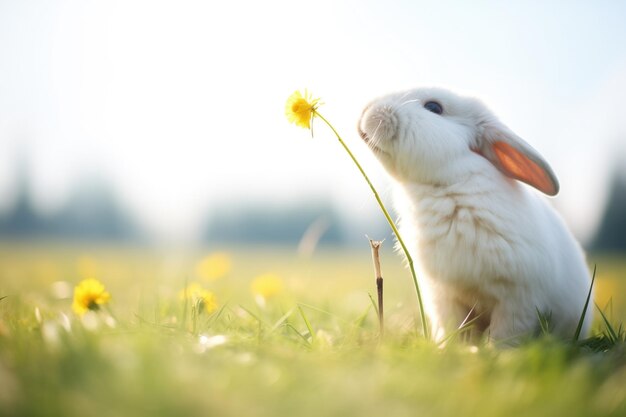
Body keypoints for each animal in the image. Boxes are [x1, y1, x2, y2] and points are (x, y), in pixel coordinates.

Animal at [356, 87, 588, 342]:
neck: (449, 185)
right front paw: (448, 347)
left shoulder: (519, 299)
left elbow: (506, 333)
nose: (366, 110)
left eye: (434, 107)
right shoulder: (444, 296)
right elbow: (451, 328)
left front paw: (496, 350)